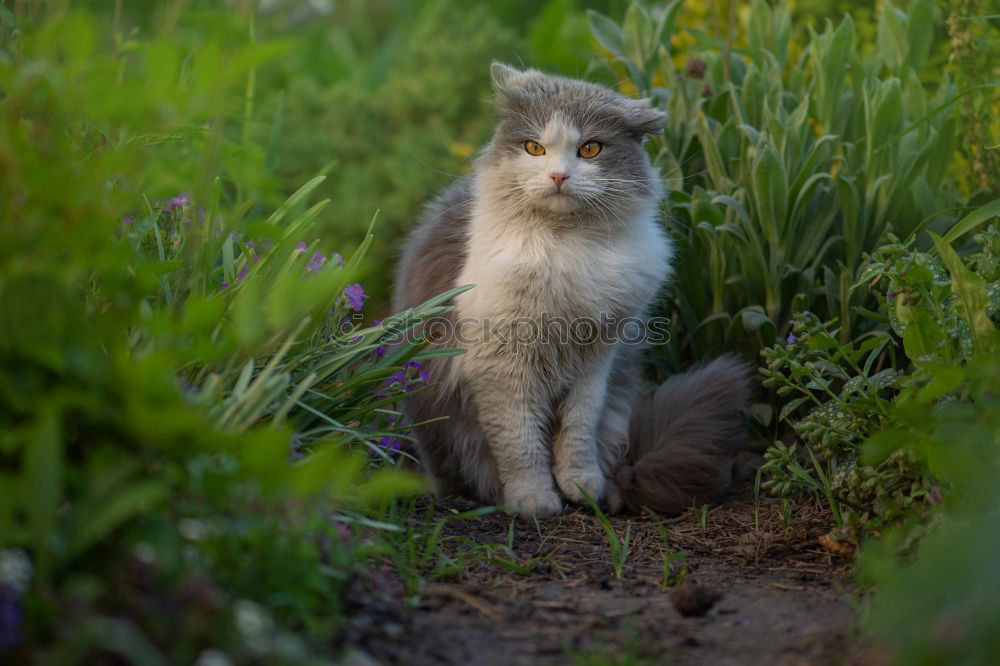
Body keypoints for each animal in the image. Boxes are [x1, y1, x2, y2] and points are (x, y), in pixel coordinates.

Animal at [390, 62, 752, 516]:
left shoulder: (596, 360)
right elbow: (520, 443)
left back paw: (610, 496)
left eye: (591, 150)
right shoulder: (502, 366)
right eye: (534, 148)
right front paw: (534, 500)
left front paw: (580, 486)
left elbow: (578, 431)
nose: (558, 175)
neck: (565, 247)